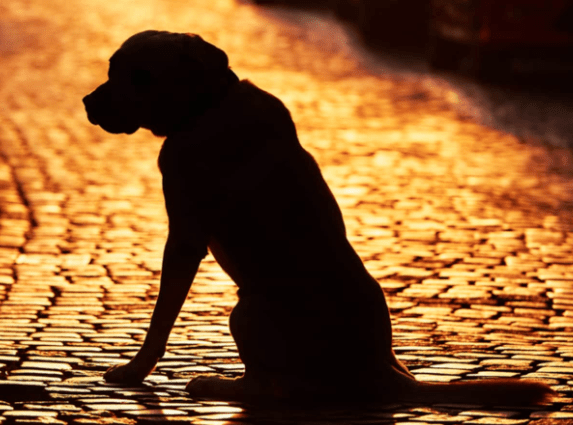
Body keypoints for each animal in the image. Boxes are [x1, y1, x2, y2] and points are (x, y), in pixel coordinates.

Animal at [82, 30, 556, 404]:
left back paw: (216, 385)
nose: (88, 102)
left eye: (141, 76)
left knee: (272, 388)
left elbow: (160, 317)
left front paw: (134, 371)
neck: (207, 105)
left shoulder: (183, 238)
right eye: (111, 67)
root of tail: (388, 374)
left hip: (247, 308)